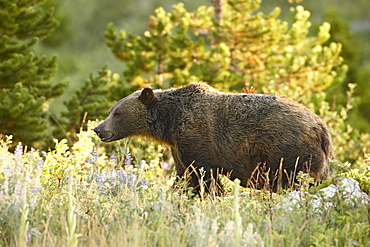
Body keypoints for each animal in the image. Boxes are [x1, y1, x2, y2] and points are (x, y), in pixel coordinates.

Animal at [94, 82, 332, 194]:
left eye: (117, 113)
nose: (98, 129)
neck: (170, 122)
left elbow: (203, 176)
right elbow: (184, 175)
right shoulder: (178, 146)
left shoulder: (198, 137)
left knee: (297, 179)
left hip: (289, 151)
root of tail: (321, 127)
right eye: (112, 110)